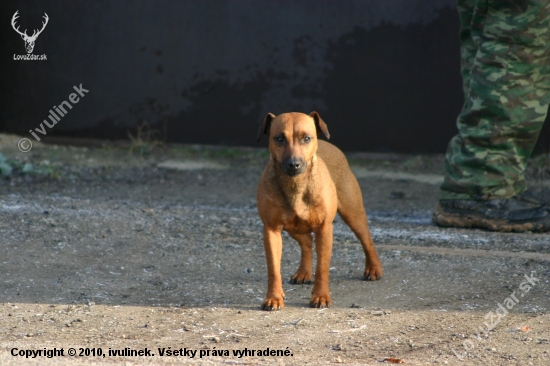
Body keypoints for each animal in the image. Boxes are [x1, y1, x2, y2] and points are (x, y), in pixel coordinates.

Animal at [256, 110, 382, 310]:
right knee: (306, 241)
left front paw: (321, 296)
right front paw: (274, 298)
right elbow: (274, 269)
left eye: (306, 138)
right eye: (279, 138)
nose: (293, 164)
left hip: (353, 213)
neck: (295, 185)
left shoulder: (324, 229)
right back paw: (303, 272)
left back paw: (373, 269)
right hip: (293, 227)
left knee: (366, 240)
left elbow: (322, 268)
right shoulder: (271, 229)